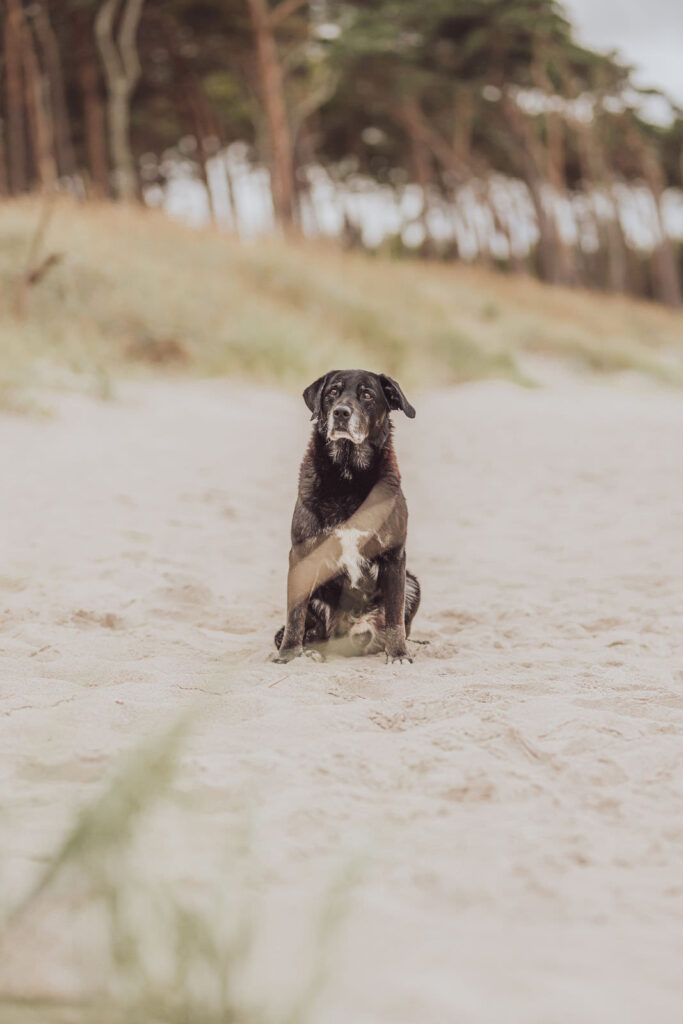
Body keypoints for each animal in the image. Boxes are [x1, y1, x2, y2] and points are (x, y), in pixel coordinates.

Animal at [274, 368, 419, 663]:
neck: (348, 473)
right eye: (333, 392)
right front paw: (289, 653)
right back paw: (310, 651)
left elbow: (395, 616)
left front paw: (398, 653)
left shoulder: (394, 556)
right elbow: (295, 615)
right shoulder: (301, 554)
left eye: (367, 395)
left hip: (412, 582)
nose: (341, 412)